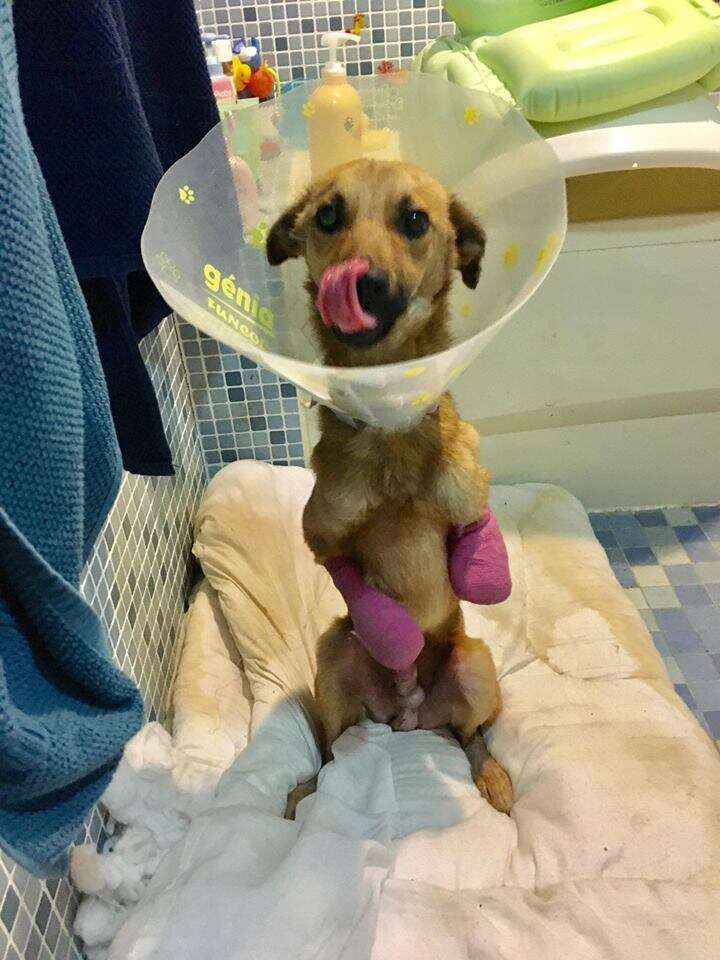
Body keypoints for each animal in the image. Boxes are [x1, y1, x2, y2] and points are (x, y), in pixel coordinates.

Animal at [268, 158, 512, 808]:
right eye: (328, 215)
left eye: (415, 220)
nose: (361, 284)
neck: (387, 422)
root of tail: (410, 720)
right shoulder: (323, 535)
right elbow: (361, 586)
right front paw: (396, 633)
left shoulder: (469, 503)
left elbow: (481, 556)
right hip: (334, 657)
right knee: (332, 751)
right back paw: (309, 791)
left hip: (476, 666)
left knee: (472, 738)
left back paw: (492, 775)